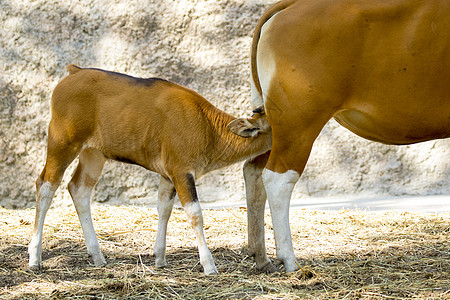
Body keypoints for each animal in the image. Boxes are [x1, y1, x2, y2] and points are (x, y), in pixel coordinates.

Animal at [29, 64, 270, 276]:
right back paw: (34, 258)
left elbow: (164, 209)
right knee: (46, 185)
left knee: (78, 189)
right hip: (62, 143)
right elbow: (195, 214)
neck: (208, 126)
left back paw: (97, 255)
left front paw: (160, 258)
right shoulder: (181, 172)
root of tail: (74, 72)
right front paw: (209, 265)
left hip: (93, 153)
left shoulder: (167, 175)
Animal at [236, 0, 450, 272]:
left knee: (253, 171)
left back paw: (261, 257)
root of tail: (291, 5)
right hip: (298, 122)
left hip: (273, 125)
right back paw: (290, 260)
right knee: (277, 179)